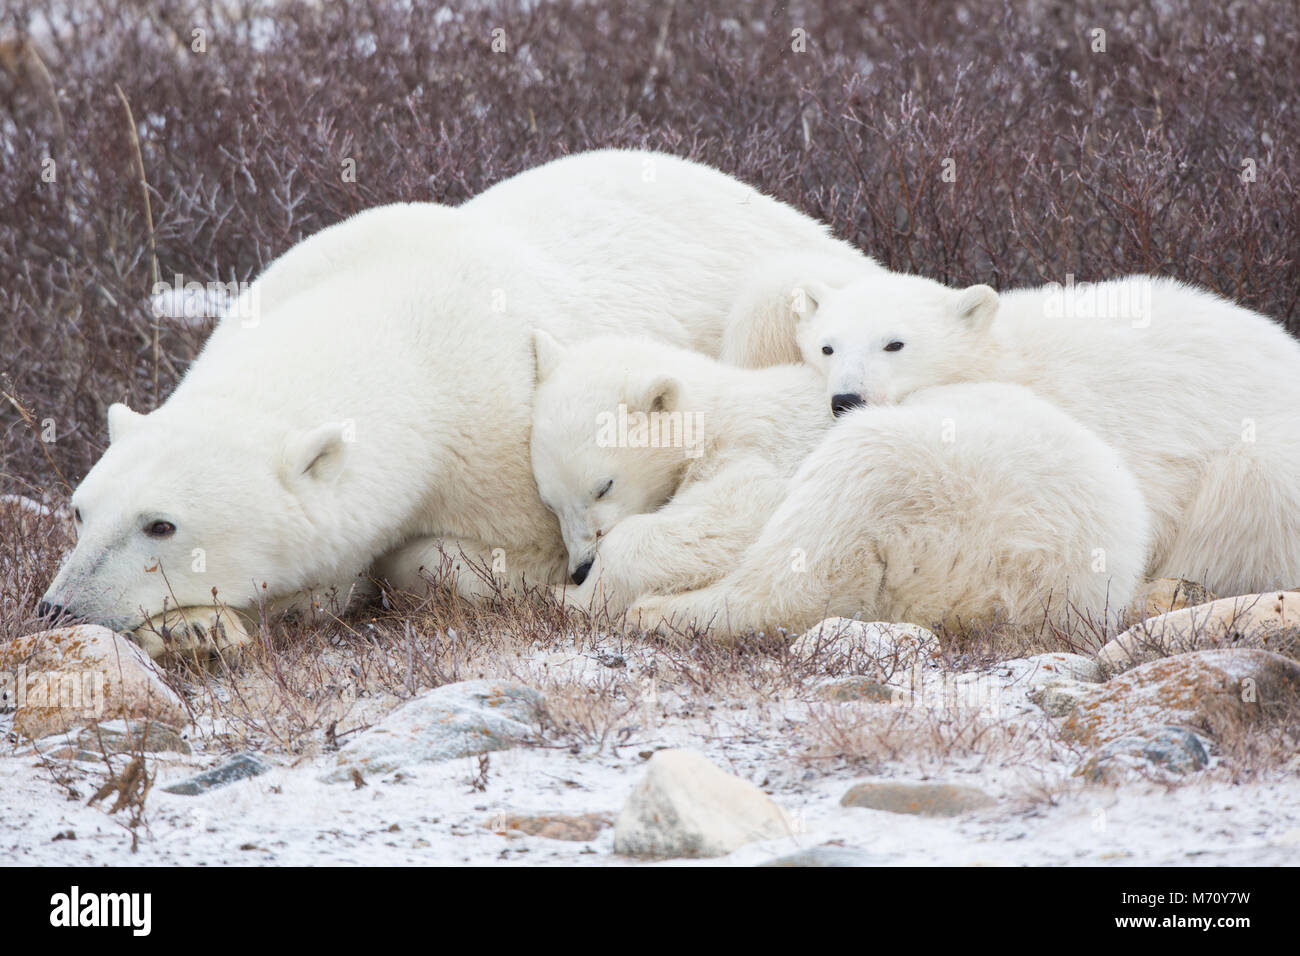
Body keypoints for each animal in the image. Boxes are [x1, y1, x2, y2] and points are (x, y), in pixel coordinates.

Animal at [40, 151, 878, 658]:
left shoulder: (499, 445)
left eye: (161, 523)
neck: (394, 309)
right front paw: (205, 628)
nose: (60, 608)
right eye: (81, 510)